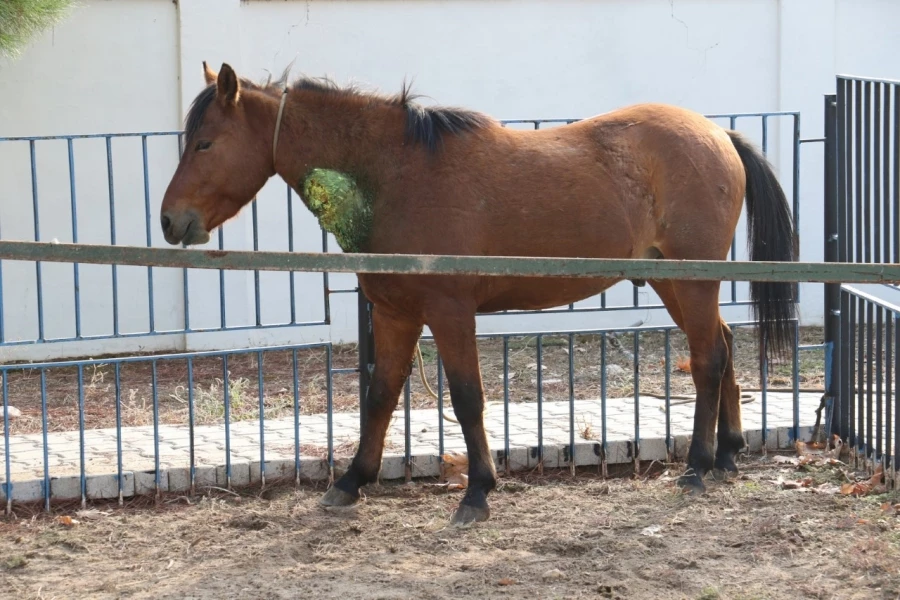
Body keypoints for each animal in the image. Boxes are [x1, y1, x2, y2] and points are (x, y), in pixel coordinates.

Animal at [160, 62, 796, 524]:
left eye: (206, 144)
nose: (170, 221)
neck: (395, 174)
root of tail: (718, 133)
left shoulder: (449, 313)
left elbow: (467, 398)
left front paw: (477, 492)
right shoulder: (394, 314)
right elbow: (380, 397)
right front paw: (351, 481)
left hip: (691, 281)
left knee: (708, 359)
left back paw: (697, 467)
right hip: (673, 282)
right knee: (723, 346)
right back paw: (728, 455)